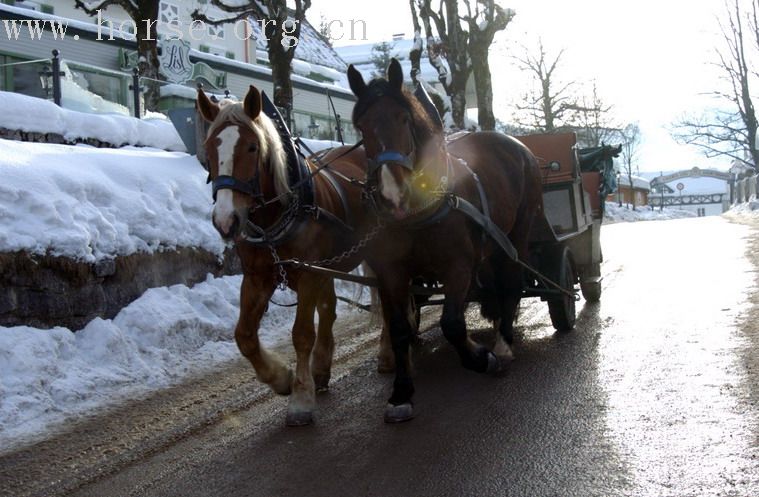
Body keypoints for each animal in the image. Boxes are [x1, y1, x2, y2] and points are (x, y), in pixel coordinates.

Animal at [197, 84, 386, 422]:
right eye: (209, 149)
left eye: (252, 147)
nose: (225, 221)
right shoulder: (258, 277)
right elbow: (244, 335)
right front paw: (280, 378)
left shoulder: (308, 273)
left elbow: (301, 334)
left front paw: (300, 397)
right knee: (329, 308)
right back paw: (322, 367)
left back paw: (388, 353)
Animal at [350, 59, 548, 422]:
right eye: (361, 126)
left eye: (403, 118)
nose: (392, 195)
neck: (418, 211)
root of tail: (518, 146)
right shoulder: (391, 274)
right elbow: (399, 328)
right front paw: (401, 393)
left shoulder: (458, 267)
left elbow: (452, 324)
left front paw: (482, 358)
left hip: (518, 231)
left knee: (512, 283)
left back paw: (503, 344)